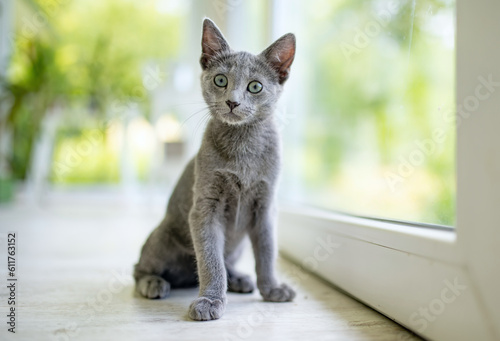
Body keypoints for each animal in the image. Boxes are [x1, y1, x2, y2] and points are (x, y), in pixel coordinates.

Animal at [135, 17, 294, 322]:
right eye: (221, 80)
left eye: (255, 87)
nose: (232, 101)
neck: (243, 145)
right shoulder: (205, 206)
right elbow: (210, 260)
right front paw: (210, 300)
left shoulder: (265, 206)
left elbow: (267, 251)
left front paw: (271, 288)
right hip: (162, 237)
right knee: (138, 267)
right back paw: (153, 283)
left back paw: (239, 280)